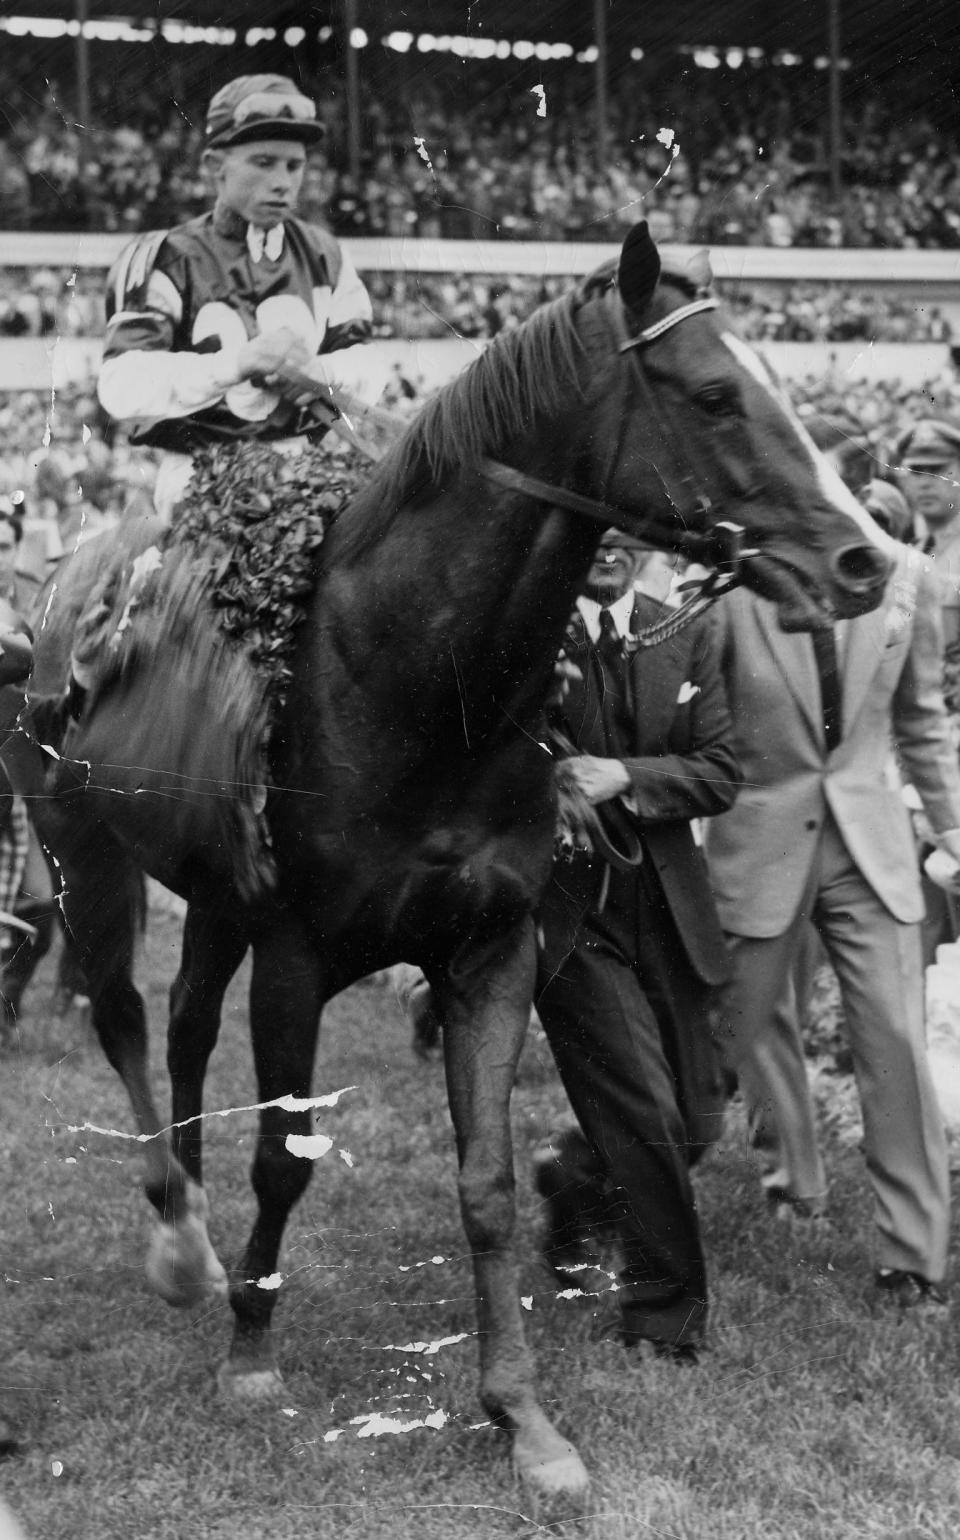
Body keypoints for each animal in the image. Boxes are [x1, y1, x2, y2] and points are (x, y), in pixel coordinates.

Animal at [22, 223, 887, 1496]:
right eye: (716, 395)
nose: (865, 562)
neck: (412, 687)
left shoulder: (491, 946)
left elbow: (485, 1181)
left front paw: (524, 1417)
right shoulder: (299, 954)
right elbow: (284, 1156)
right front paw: (252, 1347)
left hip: (217, 889)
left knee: (182, 1027)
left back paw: (195, 1225)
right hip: (78, 844)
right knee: (127, 1017)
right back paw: (177, 1234)